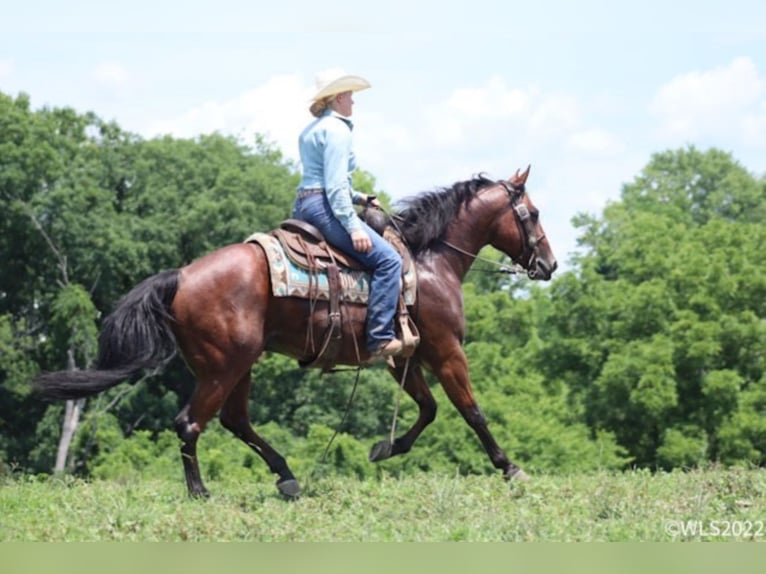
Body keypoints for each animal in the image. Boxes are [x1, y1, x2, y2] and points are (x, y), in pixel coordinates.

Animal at [34, 165, 560, 500]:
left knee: (235, 421)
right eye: (533, 214)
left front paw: (385, 448)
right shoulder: (447, 351)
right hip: (225, 366)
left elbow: (428, 409)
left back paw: (286, 476)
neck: (428, 261)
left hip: (238, 364)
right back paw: (201, 491)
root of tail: (181, 276)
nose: (550, 264)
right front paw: (510, 467)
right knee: (191, 423)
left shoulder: (401, 357)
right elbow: (471, 410)